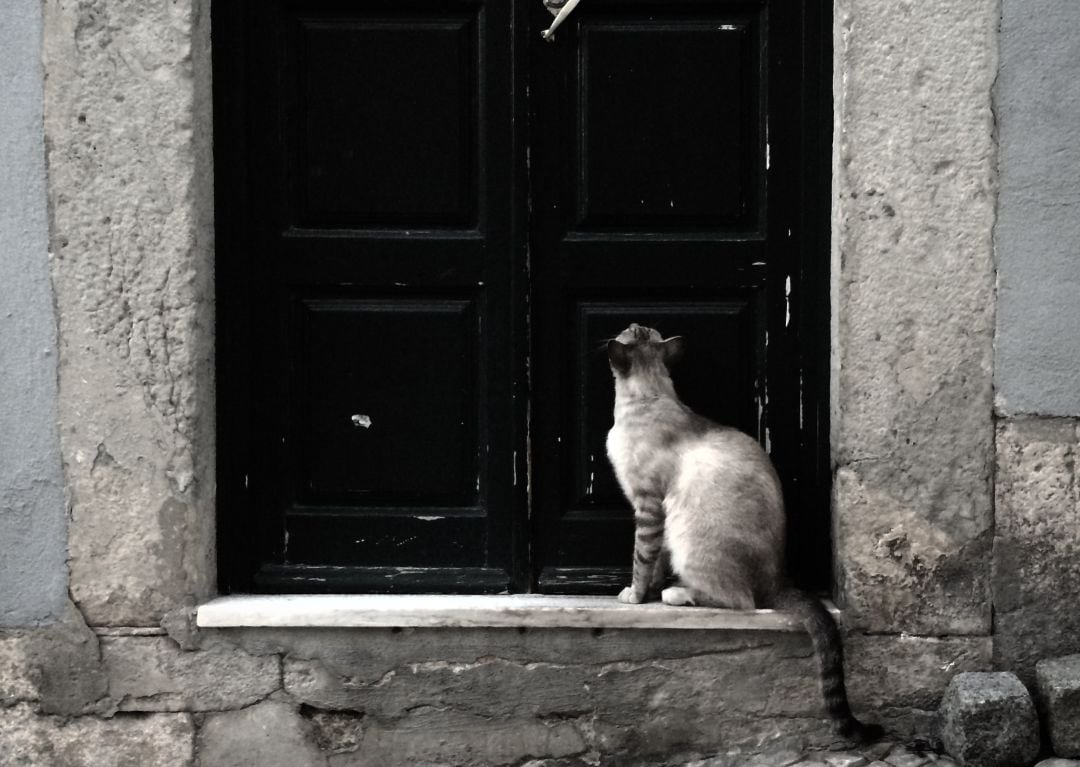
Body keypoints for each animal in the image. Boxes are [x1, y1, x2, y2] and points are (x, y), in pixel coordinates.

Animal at [604, 321, 881, 743]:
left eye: (627, 329)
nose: (632, 322)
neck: (650, 396)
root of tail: (779, 582)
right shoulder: (656, 515)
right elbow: (654, 562)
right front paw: (645, 594)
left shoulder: (648, 505)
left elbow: (641, 559)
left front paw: (635, 598)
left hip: (690, 542)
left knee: (742, 602)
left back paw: (676, 594)